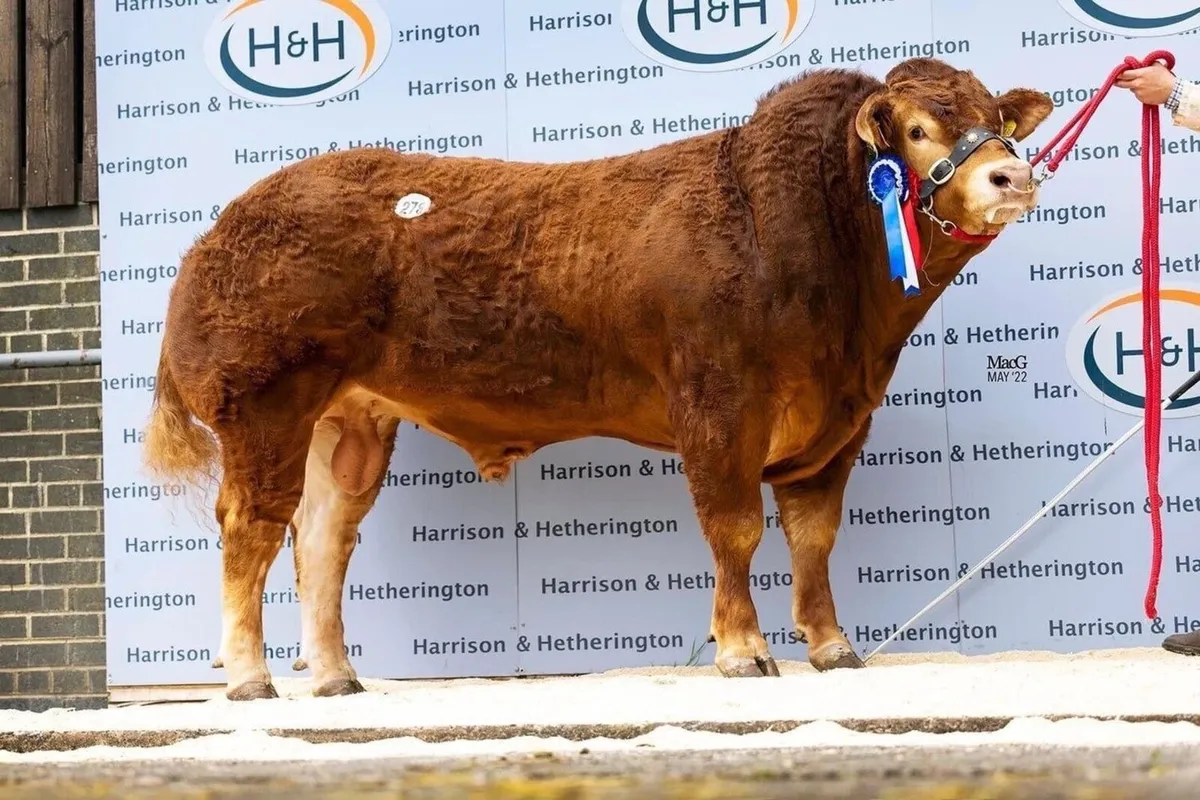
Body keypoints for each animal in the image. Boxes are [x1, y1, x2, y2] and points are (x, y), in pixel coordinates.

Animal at [142, 56, 1054, 702]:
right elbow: (735, 530)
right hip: (264, 406)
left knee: (322, 538)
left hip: (351, 421)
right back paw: (250, 677)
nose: (1012, 175)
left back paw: (335, 675)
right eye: (917, 128)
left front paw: (832, 648)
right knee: (251, 530)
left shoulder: (840, 423)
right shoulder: (718, 406)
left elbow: (814, 539)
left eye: (995, 120)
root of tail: (224, 227)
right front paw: (743, 652)